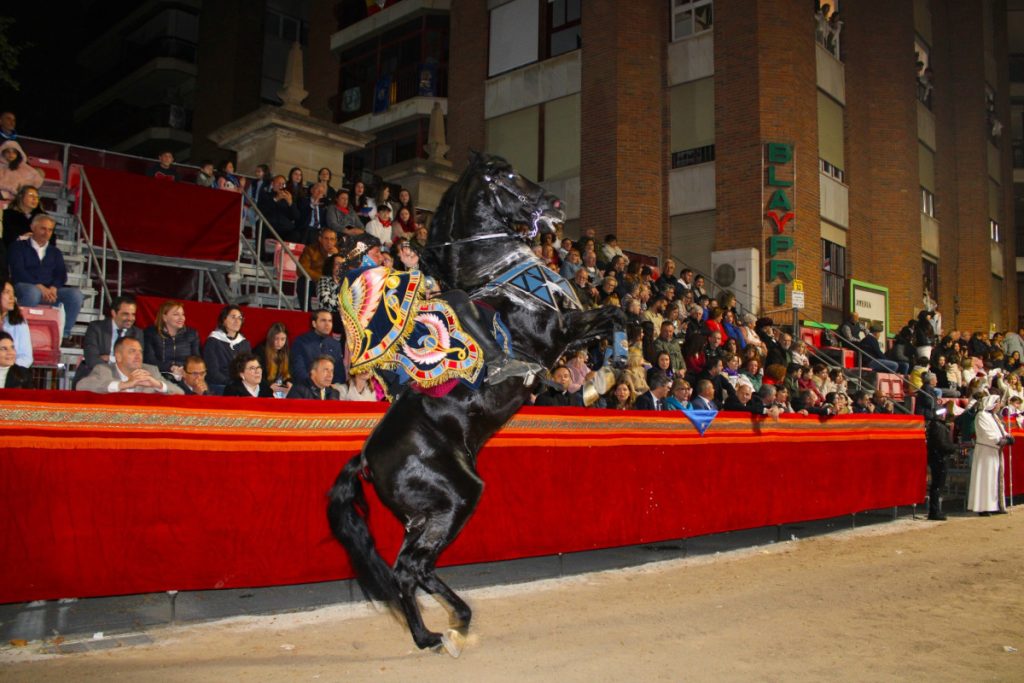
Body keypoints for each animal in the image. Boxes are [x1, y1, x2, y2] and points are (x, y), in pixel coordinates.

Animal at [325, 152, 622, 655]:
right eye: (507, 176)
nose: (556, 206)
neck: (495, 273)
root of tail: (365, 459)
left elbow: (613, 321)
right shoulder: (558, 332)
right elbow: (618, 313)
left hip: (428, 514)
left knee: (418, 568)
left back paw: (456, 622)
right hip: (457, 497)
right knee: (408, 570)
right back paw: (432, 636)